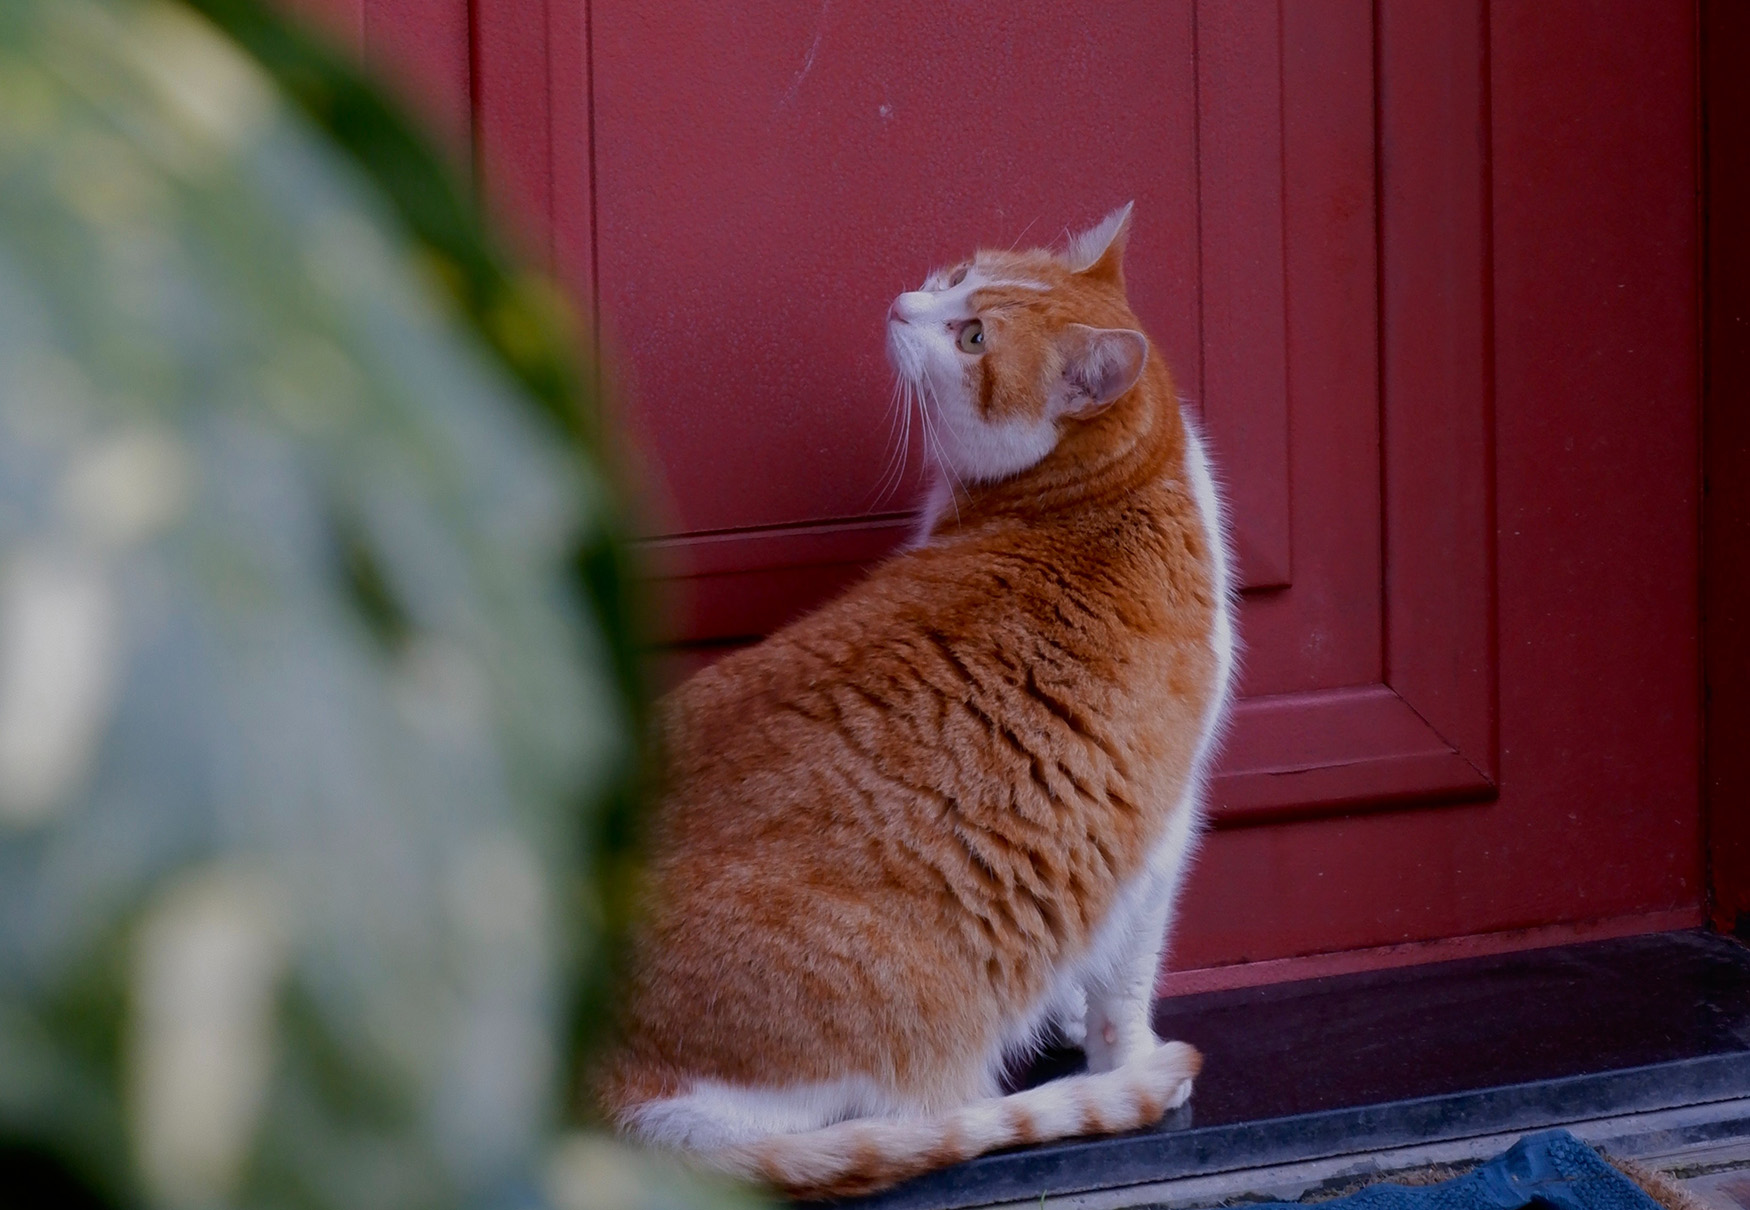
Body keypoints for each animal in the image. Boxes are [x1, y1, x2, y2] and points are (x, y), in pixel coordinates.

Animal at [598, 203, 1232, 1197]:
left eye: (972, 336)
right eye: (956, 277)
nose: (902, 303)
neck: (1120, 483)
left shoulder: (1154, 842)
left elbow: (1114, 981)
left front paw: (1090, 1031)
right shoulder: (1157, 839)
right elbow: (1125, 995)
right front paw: (1125, 1065)